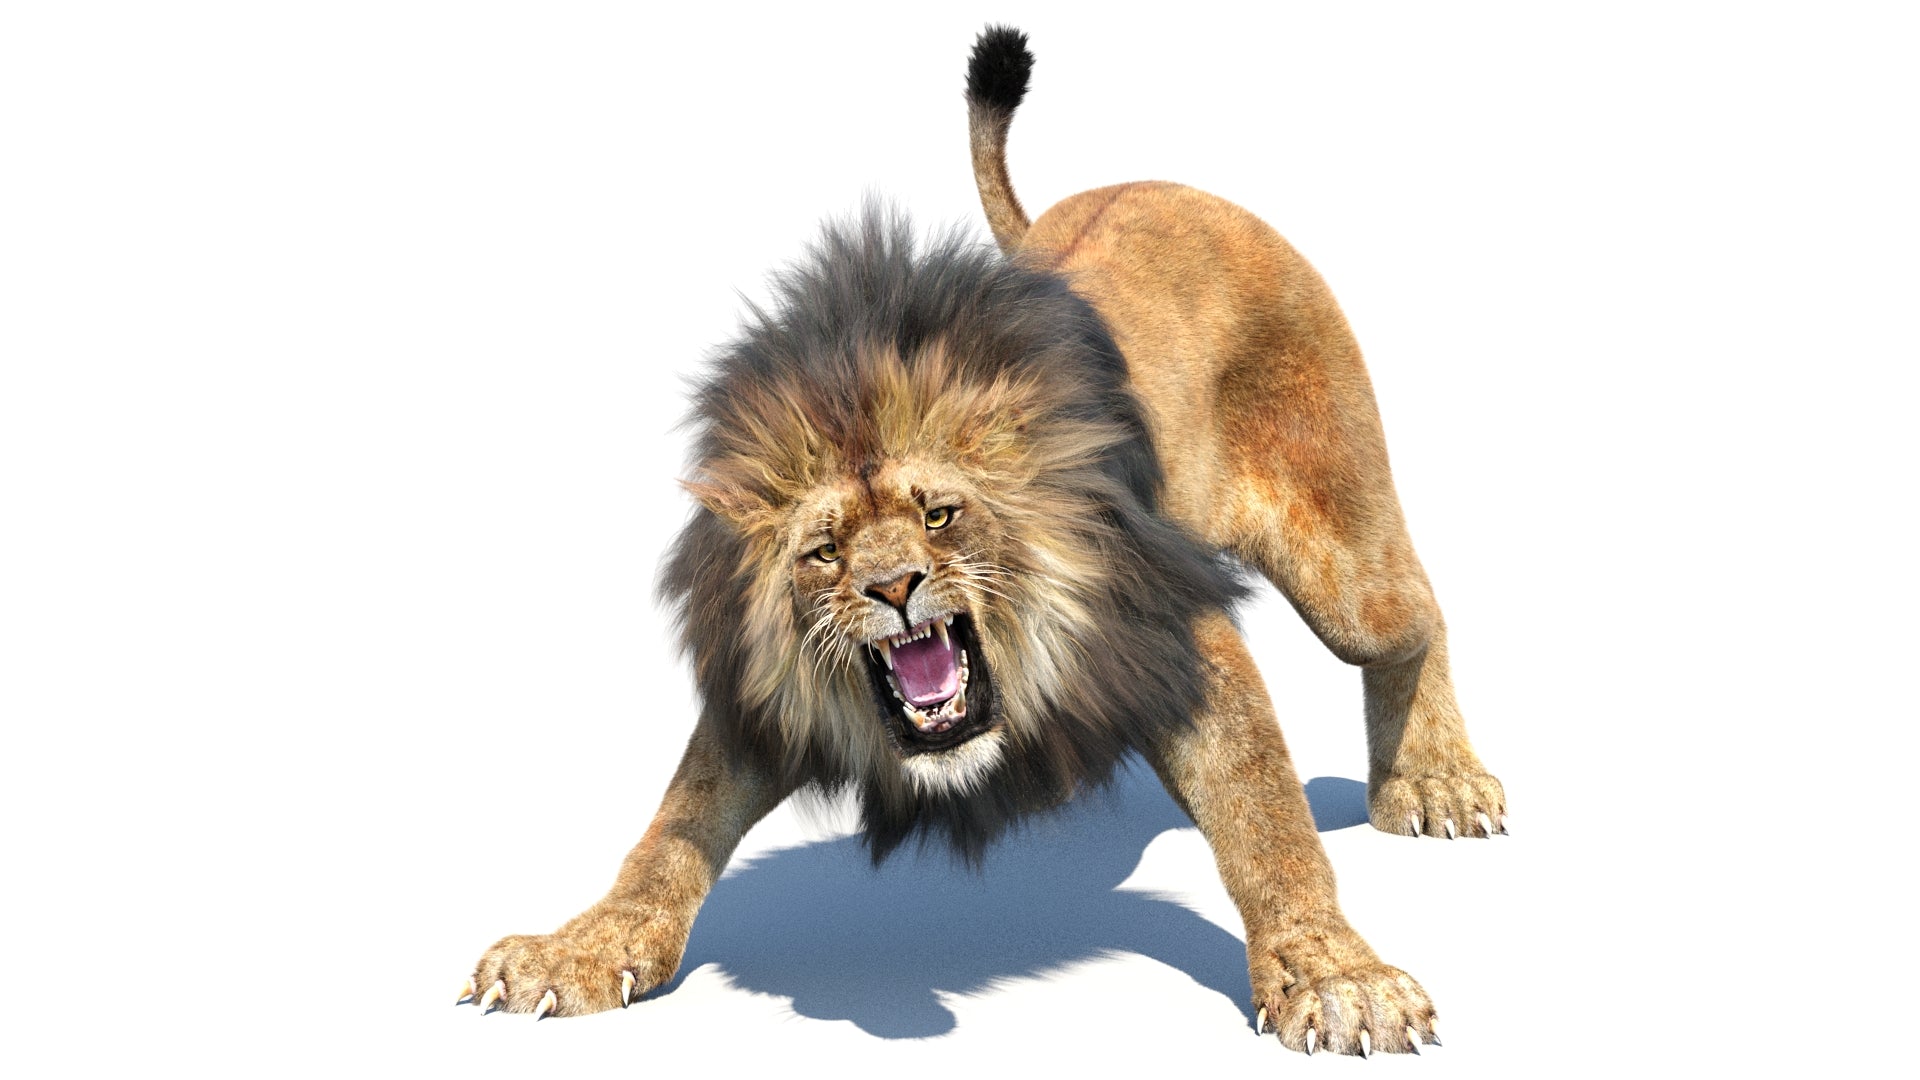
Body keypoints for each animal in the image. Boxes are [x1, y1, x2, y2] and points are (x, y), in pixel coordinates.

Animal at [458, 26, 1506, 1056]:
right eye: (826, 552)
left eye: (939, 516)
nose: (894, 589)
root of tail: (1161, 185)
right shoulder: (768, 697)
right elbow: (674, 826)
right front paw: (579, 949)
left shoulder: (1173, 633)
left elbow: (1266, 821)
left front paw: (1335, 978)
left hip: (1345, 559)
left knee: (1414, 616)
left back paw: (1437, 782)